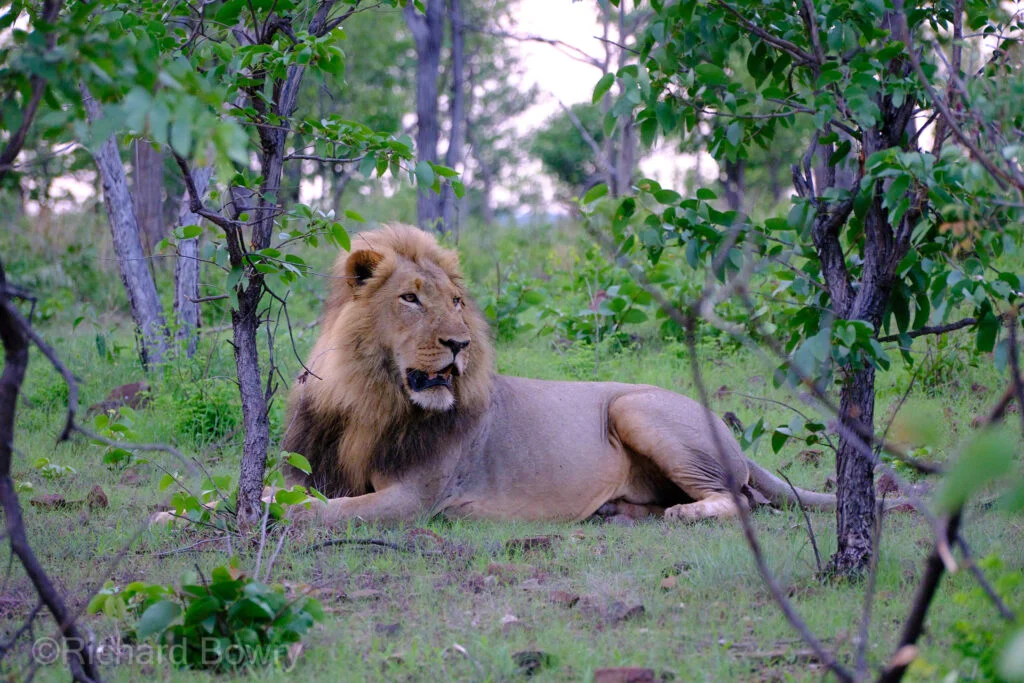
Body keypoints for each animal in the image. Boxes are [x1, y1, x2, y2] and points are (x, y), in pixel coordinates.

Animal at [277, 224, 836, 525]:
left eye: (456, 302)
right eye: (409, 298)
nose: (460, 344)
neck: (370, 397)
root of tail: (729, 435)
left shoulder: (415, 498)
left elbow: (321, 512)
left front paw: (271, 511)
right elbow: (294, 493)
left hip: (633, 406)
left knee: (743, 499)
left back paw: (682, 514)